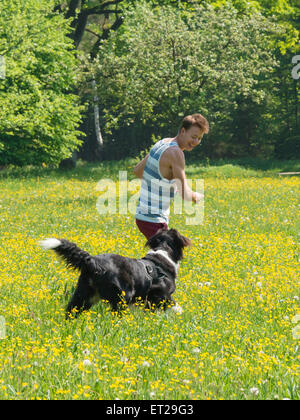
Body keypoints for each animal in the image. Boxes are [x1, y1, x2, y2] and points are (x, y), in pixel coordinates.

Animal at [39, 230, 191, 318]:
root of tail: (92, 260)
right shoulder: (163, 294)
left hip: (83, 295)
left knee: (71, 311)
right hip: (123, 296)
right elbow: (176, 307)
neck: (163, 255)